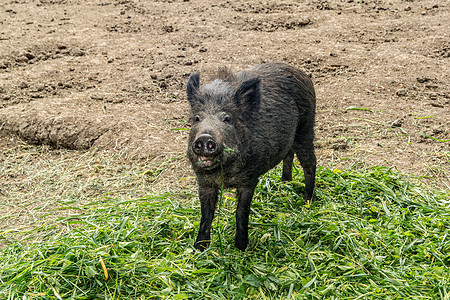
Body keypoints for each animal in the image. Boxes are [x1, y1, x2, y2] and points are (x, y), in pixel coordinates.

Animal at [186, 62, 316, 251]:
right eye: (197, 118)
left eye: (227, 118)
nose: (204, 137)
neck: (223, 174)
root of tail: (302, 74)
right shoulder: (204, 182)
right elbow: (206, 214)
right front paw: (199, 248)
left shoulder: (249, 180)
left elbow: (241, 212)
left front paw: (240, 247)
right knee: (289, 154)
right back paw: (284, 182)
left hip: (306, 128)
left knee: (310, 163)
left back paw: (308, 201)